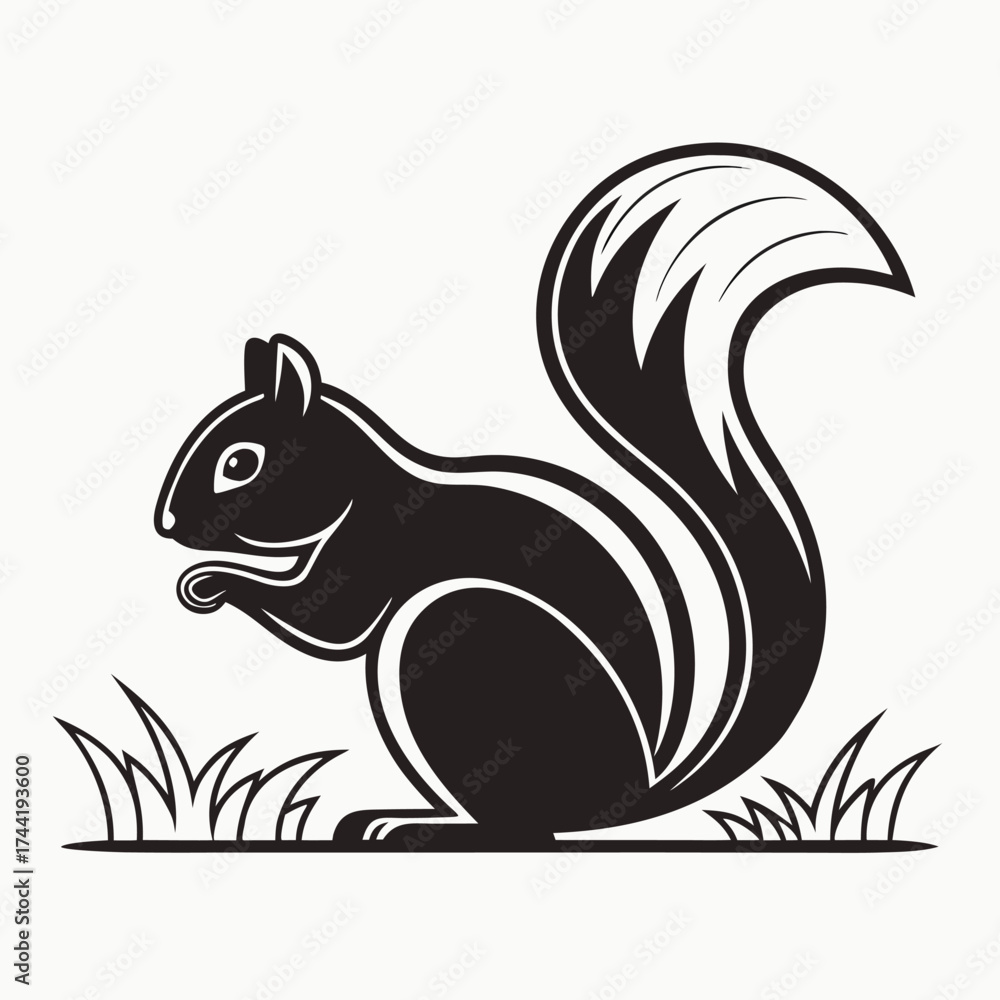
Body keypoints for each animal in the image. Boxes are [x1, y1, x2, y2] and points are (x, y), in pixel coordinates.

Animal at [154, 144, 911, 847]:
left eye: (240, 463)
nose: (166, 525)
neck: (359, 481)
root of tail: (634, 796)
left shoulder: (375, 542)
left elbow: (331, 622)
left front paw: (214, 579)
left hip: (462, 650)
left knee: (522, 825)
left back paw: (423, 827)